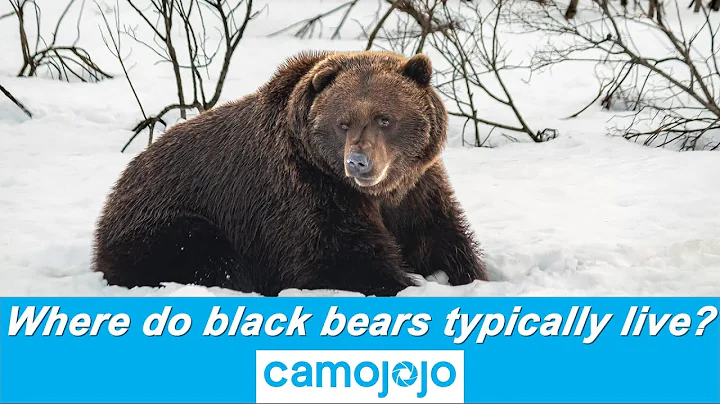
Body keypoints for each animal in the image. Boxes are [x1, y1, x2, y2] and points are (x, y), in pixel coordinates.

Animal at [92, 50, 488, 297]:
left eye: (384, 118)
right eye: (343, 123)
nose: (358, 162)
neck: (376, 193)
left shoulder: (417, 189)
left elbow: (442, 237)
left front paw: (467, 275)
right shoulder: (306, 191)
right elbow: (340, 257)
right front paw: (401, 282)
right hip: (167, 221)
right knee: (207, 252)